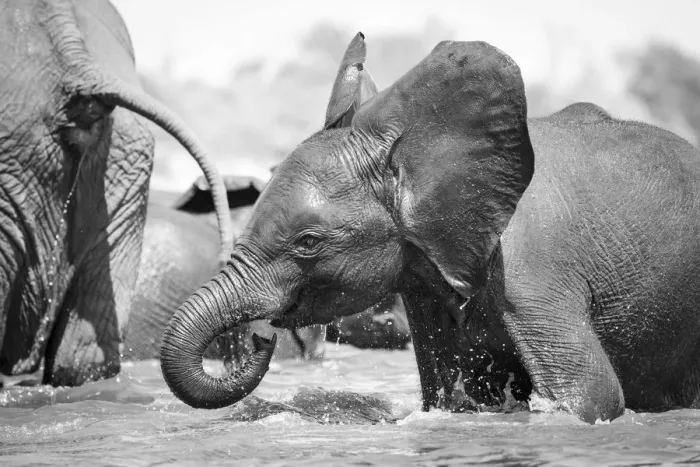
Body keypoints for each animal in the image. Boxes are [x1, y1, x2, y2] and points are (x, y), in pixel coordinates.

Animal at [158, 33, 700, 423]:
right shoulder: (423, 280)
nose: (261, 337)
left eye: (308, 243)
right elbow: (450, 399)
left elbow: (591, 399)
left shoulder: (535, 274)